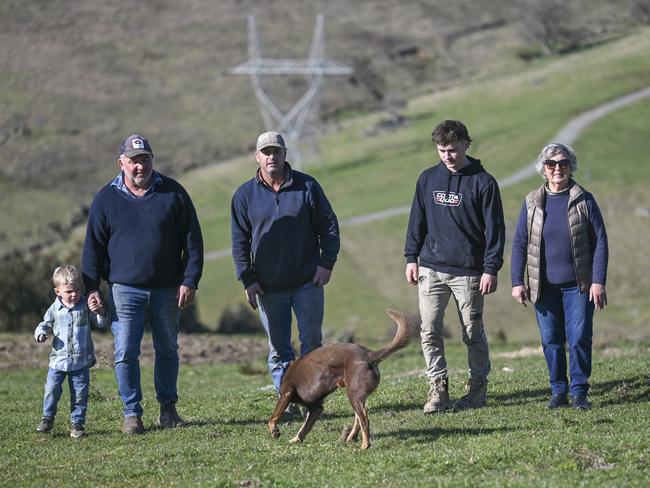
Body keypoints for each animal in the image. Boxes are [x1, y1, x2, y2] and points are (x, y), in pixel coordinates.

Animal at [268, 308, 410, 450]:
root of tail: (369, 355)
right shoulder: (316, 408)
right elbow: (305, 427)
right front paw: (296, 439)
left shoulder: (286, 395)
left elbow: (273, 417)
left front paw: (274, 431)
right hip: (357, 395)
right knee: (358, 418)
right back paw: (351, 438)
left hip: (353, 393)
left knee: (364, 420)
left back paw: (365, 445)